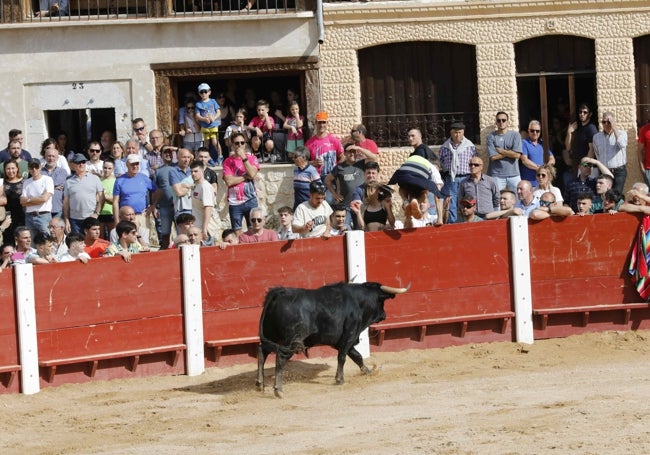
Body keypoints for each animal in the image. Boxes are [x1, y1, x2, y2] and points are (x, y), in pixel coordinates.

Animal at [256, 284, 408, 398]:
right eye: (381, 301)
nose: (384, 315)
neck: (358, 302)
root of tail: (278, 293)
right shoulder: (349, 335)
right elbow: (342, 357)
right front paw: (339, 379)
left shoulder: (344, 341)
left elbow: (357, 356)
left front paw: (367, 371)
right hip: (291, 341)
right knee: (280, 357)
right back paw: (279, 390)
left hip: (270, 335)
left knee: (262, 352)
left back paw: (259, 384)